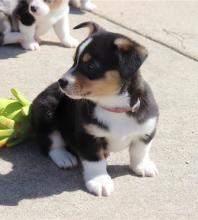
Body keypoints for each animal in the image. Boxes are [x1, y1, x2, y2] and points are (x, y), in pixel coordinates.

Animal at [32, 21, 159, 196]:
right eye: (74, 61)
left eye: (91, 66)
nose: (61, 82)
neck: (113, 106)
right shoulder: (88, 136)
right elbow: (95, 161)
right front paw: (100, 182)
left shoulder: (146, 129)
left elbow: (140, 151)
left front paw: (142, 166)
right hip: (46, 110)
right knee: (51, 142)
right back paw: (64, 157)